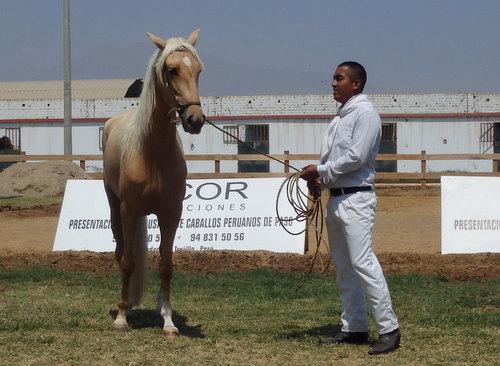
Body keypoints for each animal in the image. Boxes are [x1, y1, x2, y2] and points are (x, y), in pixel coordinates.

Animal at [101, 29, 205, 338]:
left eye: (198, 70)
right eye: (171, 70)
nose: (195, 120)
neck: (152, 151)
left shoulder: (171, 213)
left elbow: (166, 264)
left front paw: (168, 321)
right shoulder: (129, 210)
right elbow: (127, 261)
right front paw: (121, 318)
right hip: (115, 208)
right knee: (121, 253)